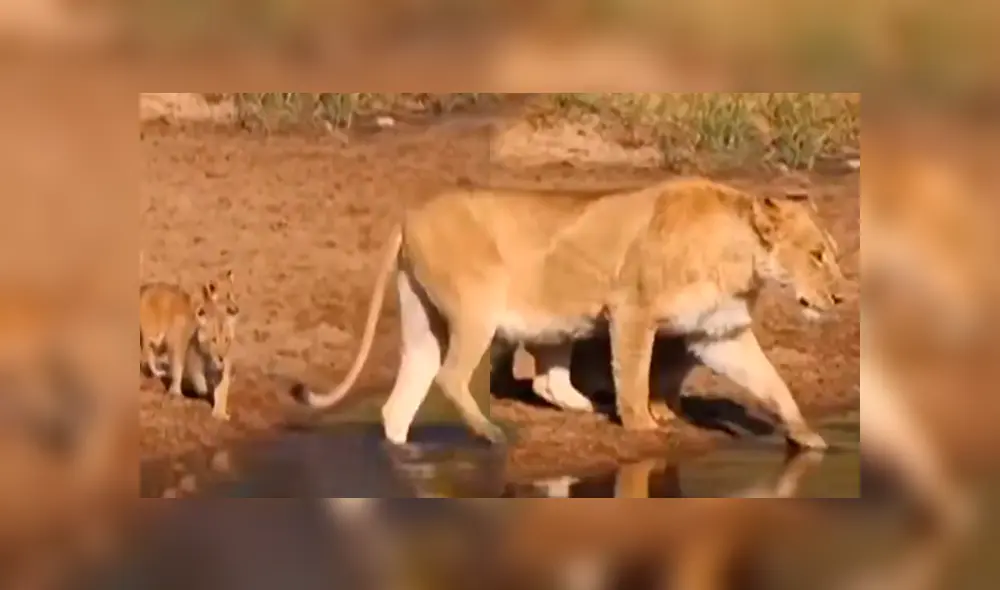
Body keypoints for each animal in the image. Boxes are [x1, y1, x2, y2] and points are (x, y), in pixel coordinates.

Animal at [139, 270, 239, 420]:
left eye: (232, 294)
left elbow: (221, 388)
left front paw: (220, 414)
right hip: (153, 334)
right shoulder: (179, 341)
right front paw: (178, 392)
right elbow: (181, 371)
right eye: (227, 296)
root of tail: (145, 288)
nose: (237, 309)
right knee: (149, 353)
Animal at [296, 177, 846, 450]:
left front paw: (810, 439)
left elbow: (774, 384)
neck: (740, 259)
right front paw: (643, 427)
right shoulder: (633, 309)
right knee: (452, 376)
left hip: (423, 320)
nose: (842, 298)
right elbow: (634, 377)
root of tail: (409, 216)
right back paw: (491, 434)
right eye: (817, 255)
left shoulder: (719, 333)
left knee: (402, 399)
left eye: (832, 254)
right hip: (479, 305)